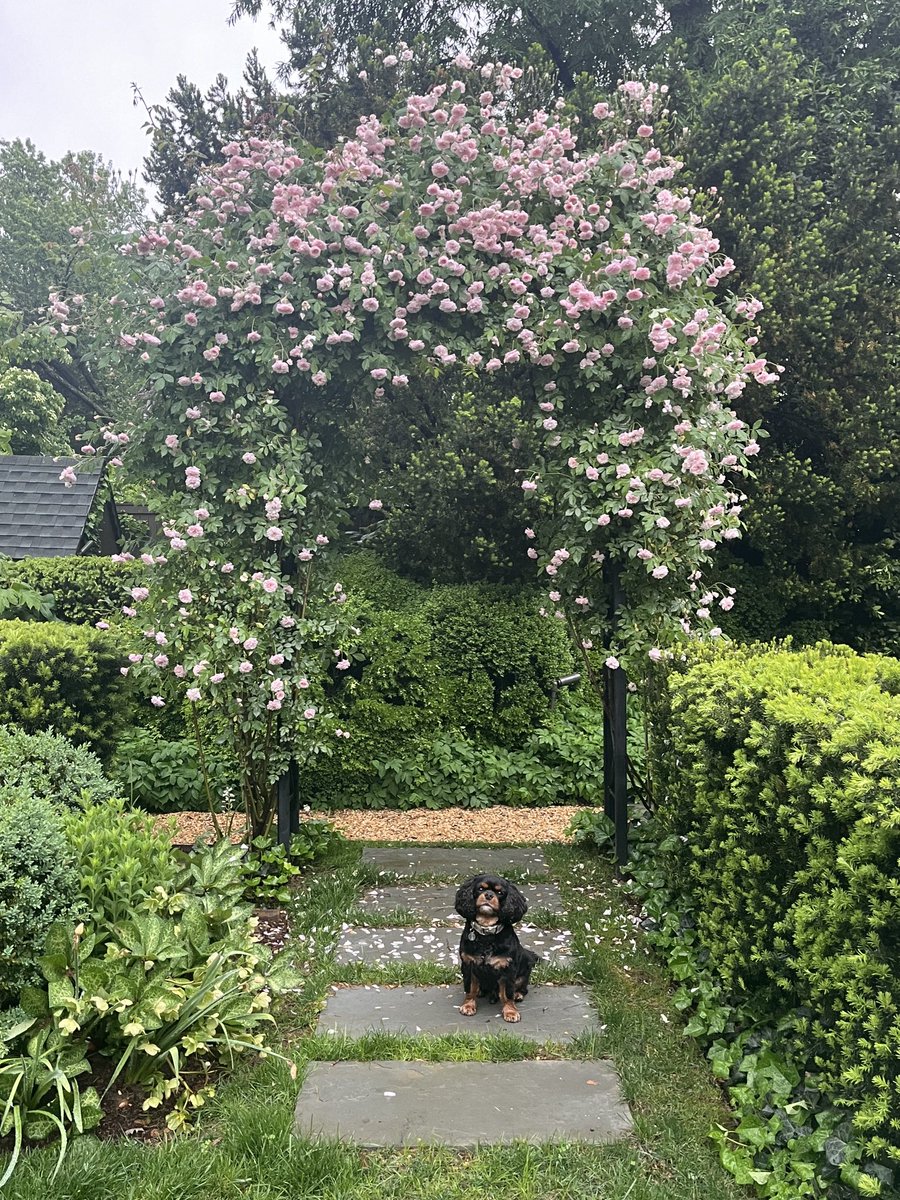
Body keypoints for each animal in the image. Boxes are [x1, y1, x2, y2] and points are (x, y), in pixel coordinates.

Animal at [453, 873, 540, 1022]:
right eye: (481, 889)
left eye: (500, 893)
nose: (488, 895)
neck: (487, 932)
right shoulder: (468, 965)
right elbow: (470, 988)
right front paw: (468, 1005)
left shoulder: (508, 969)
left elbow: (507, 993)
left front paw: (510, 1012)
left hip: (525, 972)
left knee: (522, 988)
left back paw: (518, 994)